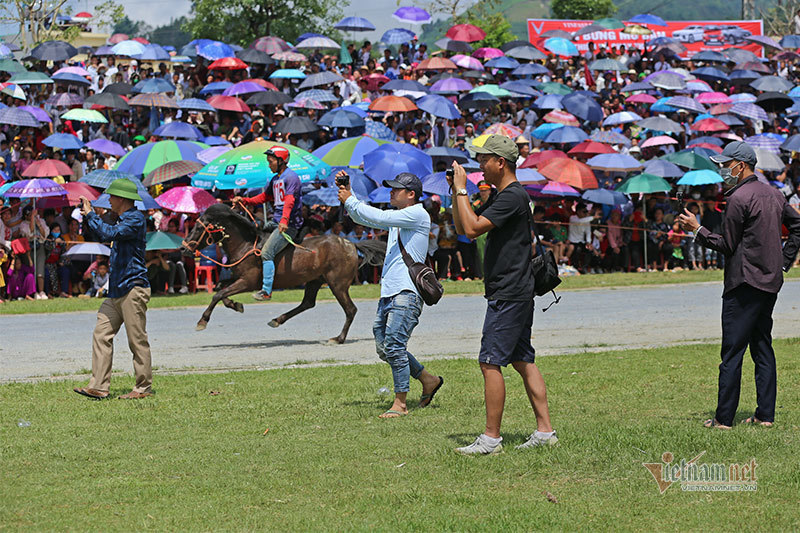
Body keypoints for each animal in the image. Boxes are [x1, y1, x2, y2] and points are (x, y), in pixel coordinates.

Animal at [183, 204, 382, 344]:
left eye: (199, 228)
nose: (184, 248)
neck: (246, 245)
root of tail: (351, 244)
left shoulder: (248, 282)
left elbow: (218, 294)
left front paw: (202, 321)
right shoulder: (239, 278)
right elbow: (220, 288)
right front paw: (235, 304)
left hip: (337, 284)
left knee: (350, 310)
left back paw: (338, 338)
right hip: (315, 280)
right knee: (307, 303)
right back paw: (277, 320)